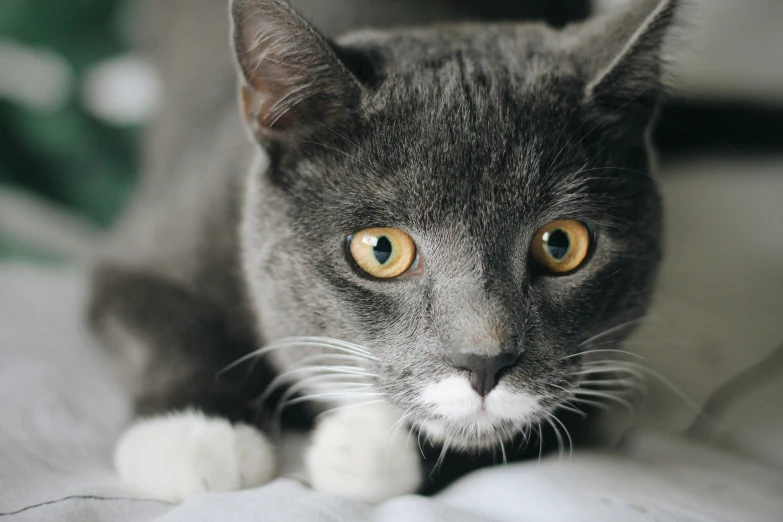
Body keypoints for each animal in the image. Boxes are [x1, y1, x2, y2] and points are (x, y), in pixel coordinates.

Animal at [89, 0, 680, 504]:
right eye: (380, 249)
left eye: (561, 244)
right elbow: (158, 314)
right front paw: (196, 437)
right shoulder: (162, 235)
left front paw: (366, 452)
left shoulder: (601, 371)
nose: (485, 362)